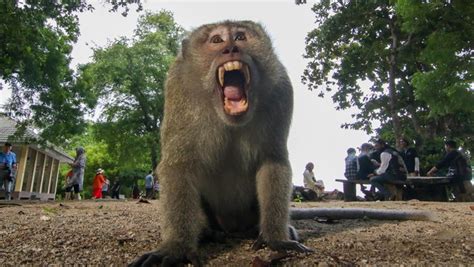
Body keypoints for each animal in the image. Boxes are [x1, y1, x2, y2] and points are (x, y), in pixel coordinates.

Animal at [130, 21, 434, 267]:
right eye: (216, 40)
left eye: (240, 36)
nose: (230, 49)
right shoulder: (178, 90)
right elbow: (178, 166)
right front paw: (176, 247)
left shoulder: (281, 89)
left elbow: (272, 162)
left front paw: (276, 238)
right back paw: (207, 233)